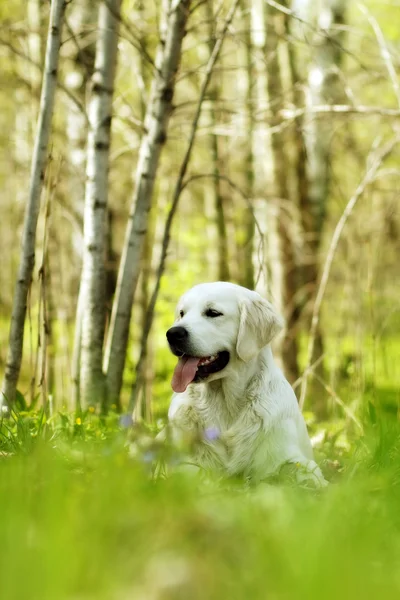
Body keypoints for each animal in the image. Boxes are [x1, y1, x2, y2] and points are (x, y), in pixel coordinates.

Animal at [164, 282, 326, 488]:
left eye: (213, 312)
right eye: (182, 313)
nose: (173, 333)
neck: (225, 402)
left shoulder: (292, 458)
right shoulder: (185, 464)